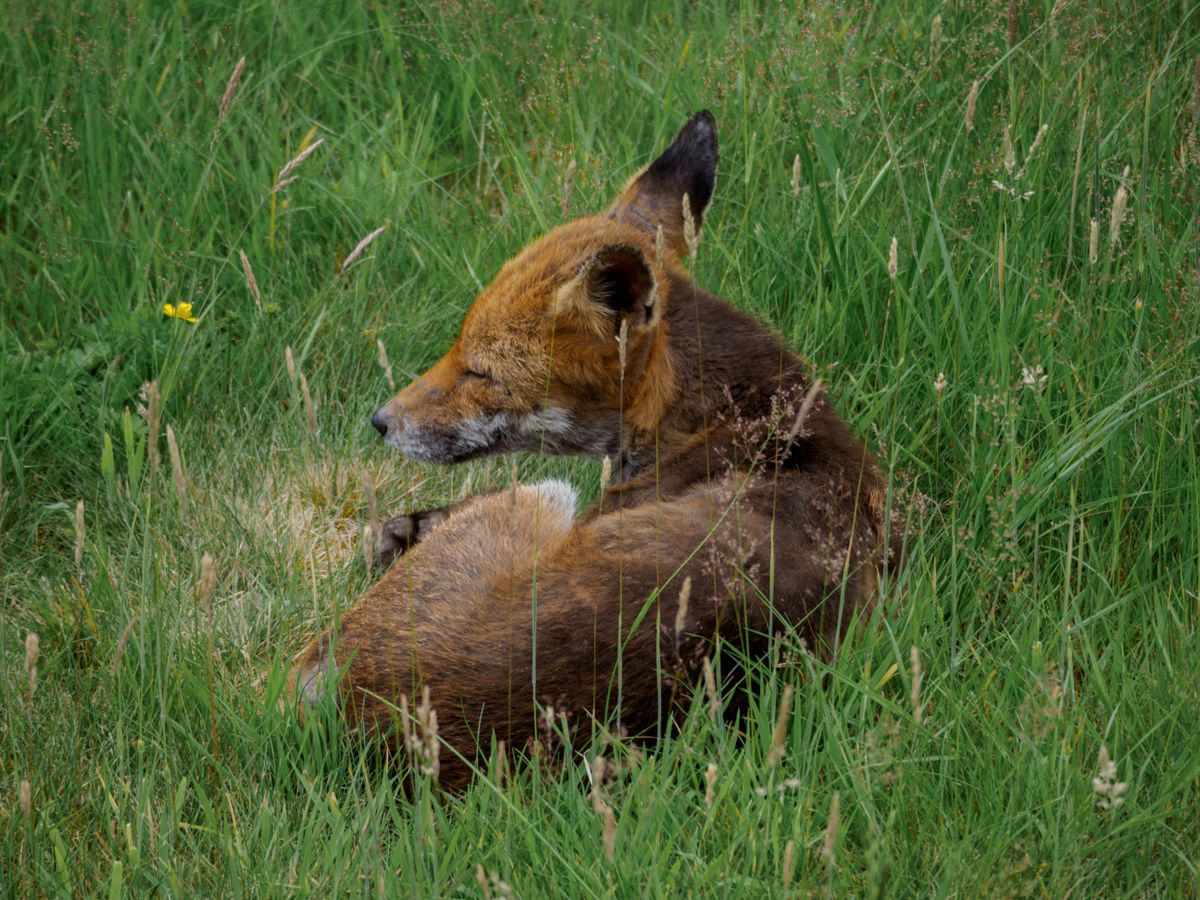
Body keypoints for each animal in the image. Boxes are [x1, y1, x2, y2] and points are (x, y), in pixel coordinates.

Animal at [289, 111, 900, 789]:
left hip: (545, 499)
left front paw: (403, 531)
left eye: (480, 372)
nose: (380, 421)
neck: (755, 425)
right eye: (457, 346)